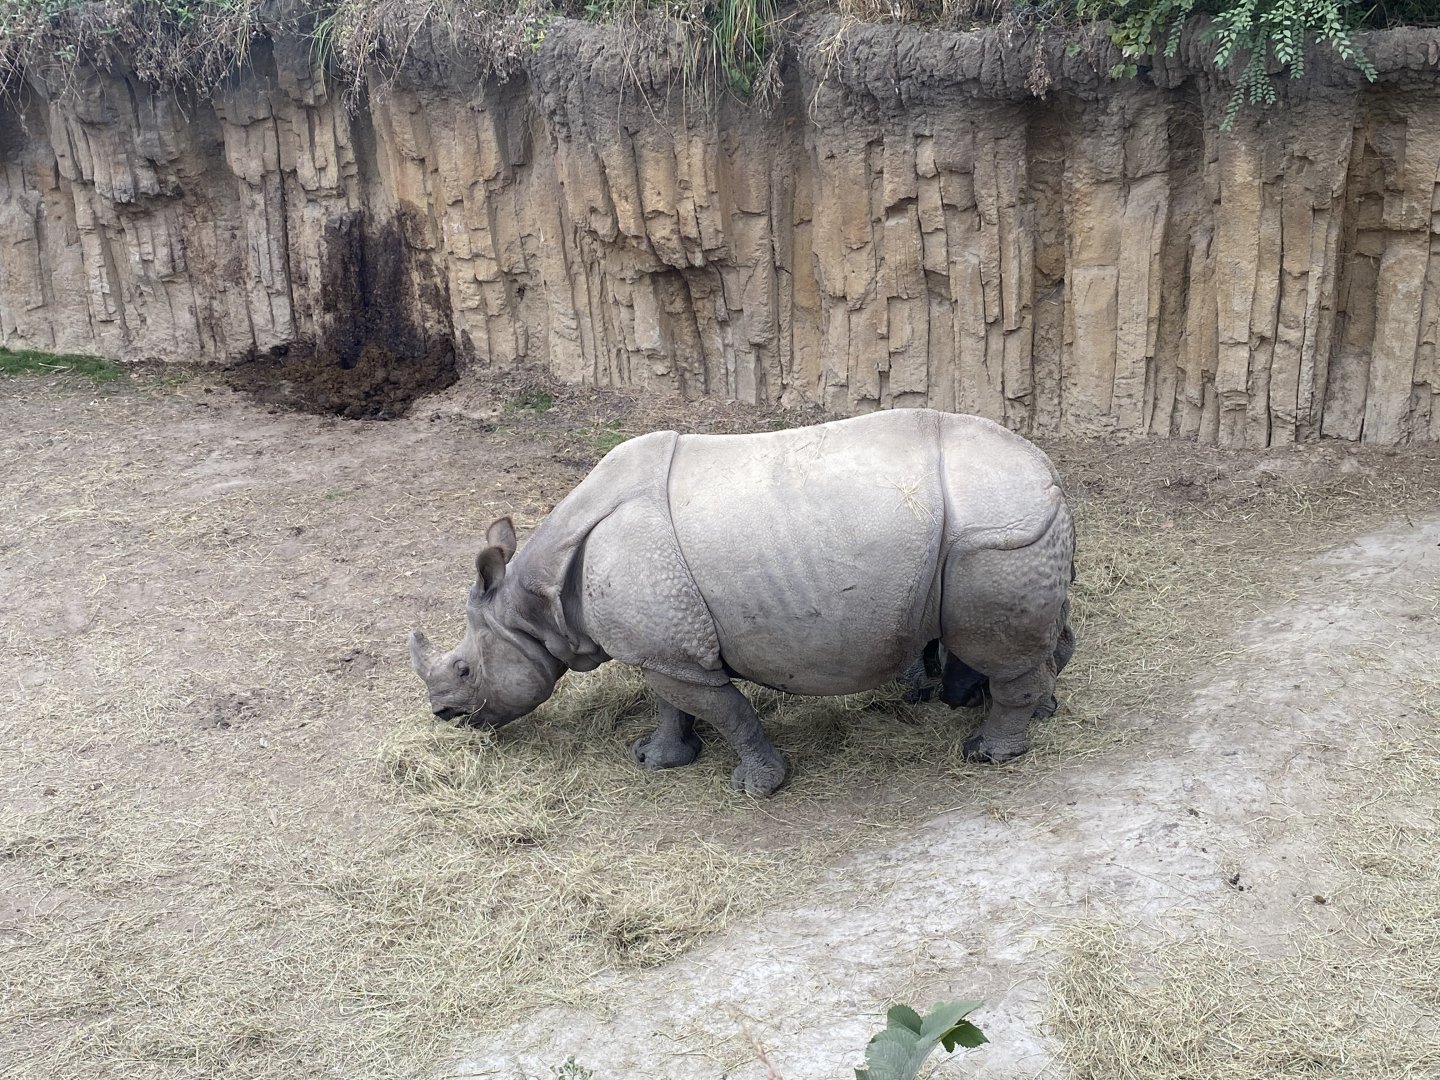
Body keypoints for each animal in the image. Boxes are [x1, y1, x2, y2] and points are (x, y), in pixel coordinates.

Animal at [409, 408, 1076, 797]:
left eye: (464, 669)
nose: (445, 716)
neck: (536, 601)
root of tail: (1046, 470)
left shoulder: (673, 651)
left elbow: (728, 713)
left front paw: (757, 786)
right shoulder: (662, 649)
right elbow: (673, 704)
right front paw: (657, 760)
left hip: (996, 533)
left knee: (998, 649)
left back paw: (987, 753)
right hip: (1001, 530)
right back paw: (1026, 709)